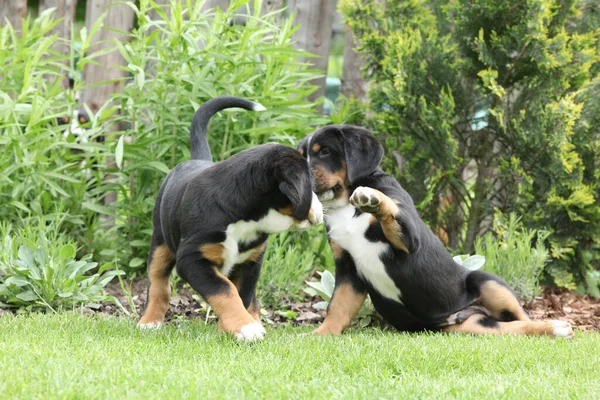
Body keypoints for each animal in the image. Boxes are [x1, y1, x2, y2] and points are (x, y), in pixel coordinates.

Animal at [139, 97, 324, 340]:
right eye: (310, 184)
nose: (321, 210)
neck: (245, 219)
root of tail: (197, 159)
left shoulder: (250, 262)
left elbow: (241, 294)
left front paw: (234, 327)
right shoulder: (192, 259)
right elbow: (223, 290)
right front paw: (244, 327)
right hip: (160, 241)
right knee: (158, 282)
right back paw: (150, 321)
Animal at [298, 125, 576, 338]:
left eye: (325, 151)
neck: (344, 207)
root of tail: (465, 314)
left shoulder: (408, 241)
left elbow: (391, 209)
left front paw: (372, 198)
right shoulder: (349, 268)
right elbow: (337, 307)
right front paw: (320, 335)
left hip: (486, 280)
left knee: (523, 316)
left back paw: (557, 326)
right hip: (473, 327)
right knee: (513, 327)